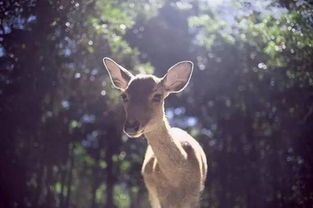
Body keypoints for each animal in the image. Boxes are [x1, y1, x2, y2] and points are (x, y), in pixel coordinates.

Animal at [103, 57, 207, 208]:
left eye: (157, 96)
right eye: (124, 96)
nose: (131, 126)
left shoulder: (195, 196)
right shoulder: (161, 196)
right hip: (152, 195)